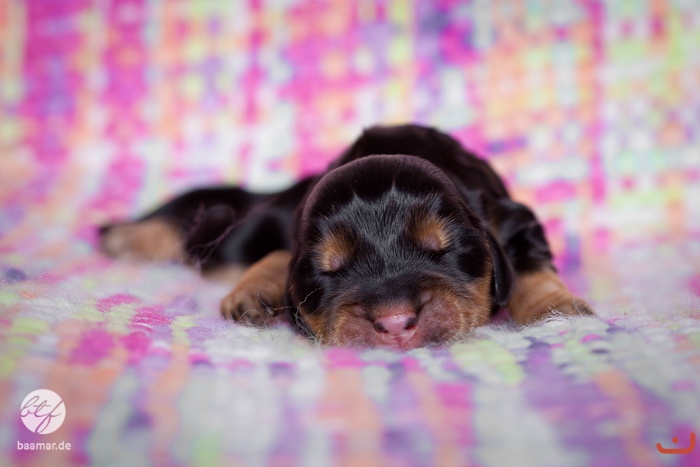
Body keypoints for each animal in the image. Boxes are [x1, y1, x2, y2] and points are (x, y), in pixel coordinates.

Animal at [100, 124, 593, 349]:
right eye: (330, 271)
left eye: (443, 249)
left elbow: (530, 266)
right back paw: (128, 237)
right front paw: (253, 292)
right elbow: (280, 256)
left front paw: (552, 307)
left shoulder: (515, 220)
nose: (396, 323)